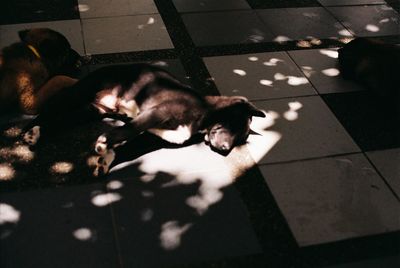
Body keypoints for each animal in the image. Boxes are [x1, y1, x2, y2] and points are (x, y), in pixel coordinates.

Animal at [22, 63, 266, 176]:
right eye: (233, 125)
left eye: (241, 139)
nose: (225, 150)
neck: (202, 112)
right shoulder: (156, 112)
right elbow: (129, 129)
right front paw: (104, 143)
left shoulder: (152, 136)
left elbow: (129, 145)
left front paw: (107, 159)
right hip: (77, 93)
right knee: (49, 110)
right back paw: (30, 130)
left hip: (92, 110)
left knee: (62, 120)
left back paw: (38, 132)